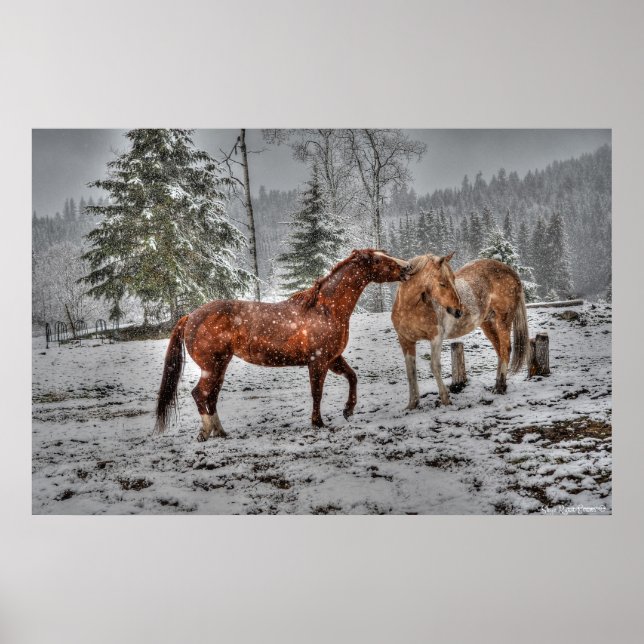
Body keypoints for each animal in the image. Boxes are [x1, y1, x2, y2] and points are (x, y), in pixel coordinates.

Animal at [155, 249, 412, 440]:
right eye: (379, 260)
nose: (408, 268)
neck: (325, 310)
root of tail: (190, 316)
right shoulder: (318, 361)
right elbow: (317, 392)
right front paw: (318, 423)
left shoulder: (333, 359)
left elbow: (352, 377)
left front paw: (348, 410)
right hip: (212, 366)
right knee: (200, 394)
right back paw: (206, 432)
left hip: (220, 366)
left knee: (211, 397)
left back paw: (220, 431)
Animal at [391, 254, 531, 408]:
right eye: (442, 283)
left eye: (453, 280)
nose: (458, 311)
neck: (410, 308)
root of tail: (511, 271)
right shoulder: (405, 340)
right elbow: (411, 371)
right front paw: (412, 404)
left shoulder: (436, 338)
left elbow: (435, 366)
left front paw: (445, 399)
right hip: (488, 324)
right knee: (500, 351)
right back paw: (499, 385)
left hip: (503, 322)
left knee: (506, 350)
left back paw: (500, 388)